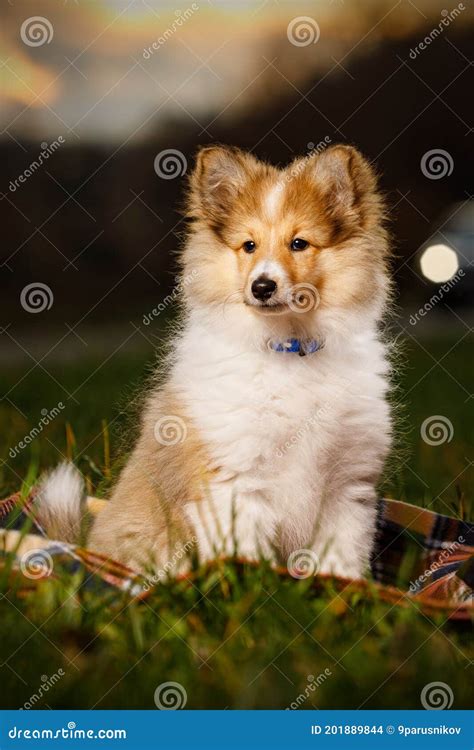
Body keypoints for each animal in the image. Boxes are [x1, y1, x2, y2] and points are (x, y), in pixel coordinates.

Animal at [37, 145, 392, 580]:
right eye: (248, 246)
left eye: (299, 243)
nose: (262, 286)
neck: (288, 349)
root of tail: (89, 549)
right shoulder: (235, 479)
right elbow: (245, 556)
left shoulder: (346, 484)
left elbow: (341, 559)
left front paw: (345, 588)